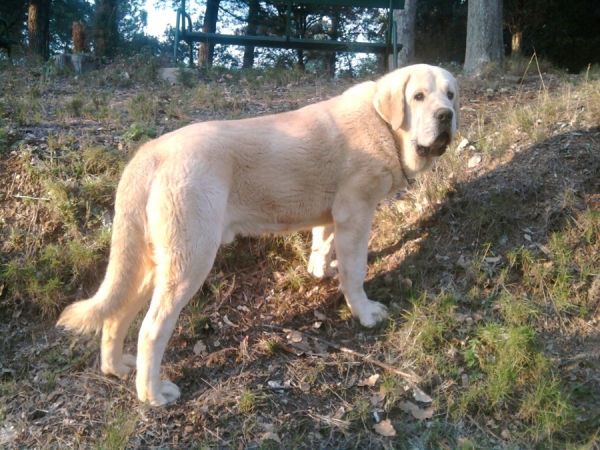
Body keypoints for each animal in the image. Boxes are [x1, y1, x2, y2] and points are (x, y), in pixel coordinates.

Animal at [57, 63, 460, 404]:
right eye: (418, 96)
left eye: (450, 94)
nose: (446, 116)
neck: (384, 127)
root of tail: (151, 151)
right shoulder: (356, 213)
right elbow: (356, 270)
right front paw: (364, 312)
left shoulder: (332, 216)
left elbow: (323, 247)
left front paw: (322, 272)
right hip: (190, 260)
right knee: (151, 330)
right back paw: (153, 395)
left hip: (153, 261)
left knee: (116, 315)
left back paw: (117, 368)